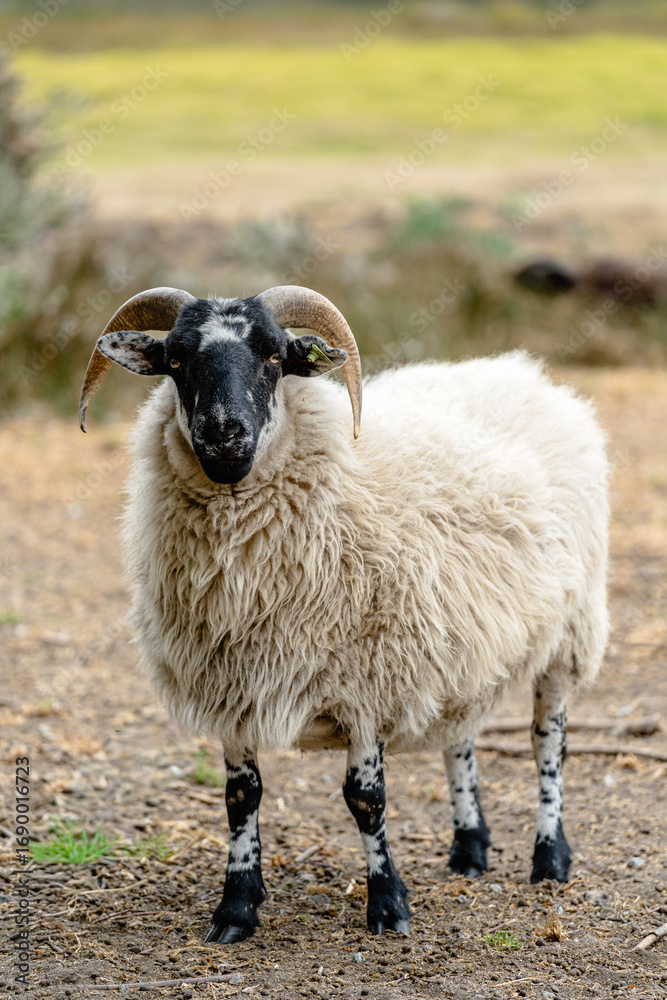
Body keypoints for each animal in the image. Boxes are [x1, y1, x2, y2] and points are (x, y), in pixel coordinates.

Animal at [79, 284, 609, 944]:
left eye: (274, 355)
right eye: (175, 361)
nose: (222, 433)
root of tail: (521, 371)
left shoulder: (367, 680)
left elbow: (366, 799)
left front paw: (388, 904)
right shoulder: (232, 682)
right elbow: (241, 799)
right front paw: (236, 907)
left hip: (570, 632)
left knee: (547, 744)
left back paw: (550, 858)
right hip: (462, 640)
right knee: (459, 740)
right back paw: (468, 849)